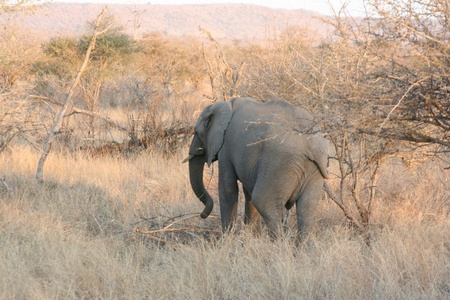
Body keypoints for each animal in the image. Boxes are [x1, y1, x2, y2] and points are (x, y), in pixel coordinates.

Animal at [185, 97, 328, 238]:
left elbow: (228, 189)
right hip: (313, 169)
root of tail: (311, 144)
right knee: (306, 209)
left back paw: (279, 244)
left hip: (279, 162)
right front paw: (253, 238)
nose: (202, 215)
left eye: (197, 132)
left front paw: (228, 240)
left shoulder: (226, 147)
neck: (225, 105)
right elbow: (247, 191)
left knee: (263, 201)